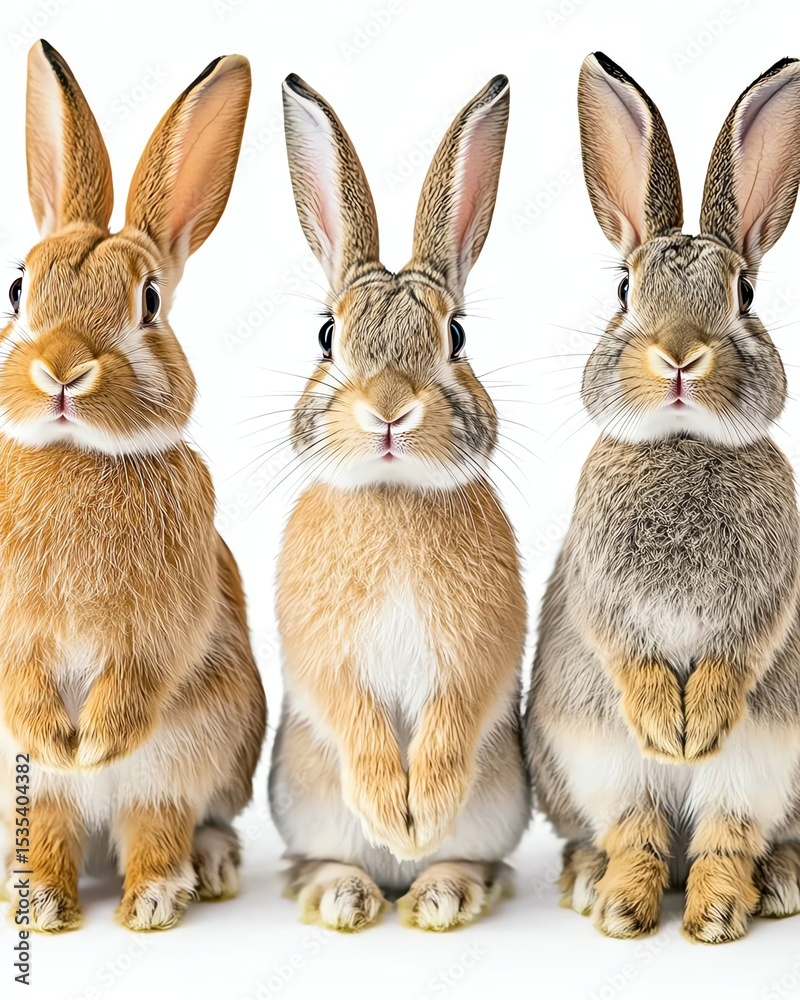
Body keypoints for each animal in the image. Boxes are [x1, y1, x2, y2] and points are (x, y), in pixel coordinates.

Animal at [0, 40, 266, 932]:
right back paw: (42, 902)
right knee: (50, 819)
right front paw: (61, 740)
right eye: (18, 287)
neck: (78, 454)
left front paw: (96, 741)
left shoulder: (161, 629)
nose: (60, 368)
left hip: (193, 745)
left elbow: (139, 676)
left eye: (149, 300)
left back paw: (161, 894)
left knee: (162, 819)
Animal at [267, 73, 529, 932]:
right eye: (326, 335)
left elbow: (454, 716)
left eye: (456, 337)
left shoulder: (481, 650)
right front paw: (392, 808)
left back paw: (440, 890)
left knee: (472, 857)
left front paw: (424, 811)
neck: (394, 493)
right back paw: (346, 893)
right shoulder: (321, 653)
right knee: (327, 857)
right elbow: (352, 712)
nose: (389, 408)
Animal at [525, 51, 800, 944]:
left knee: (728, 835)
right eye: (624, 289)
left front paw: (696, 723)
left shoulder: (771, 599)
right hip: (600, 763)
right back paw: (612, 901)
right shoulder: (599, 594)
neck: (683, 444)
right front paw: (665, 723)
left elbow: (738, 655)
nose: (680, 355)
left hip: (762, 766)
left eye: (745, 294)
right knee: (635, 831)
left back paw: (728, 908)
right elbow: (624, 649)